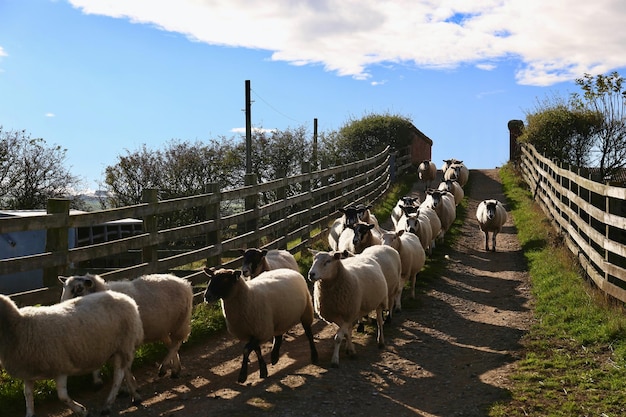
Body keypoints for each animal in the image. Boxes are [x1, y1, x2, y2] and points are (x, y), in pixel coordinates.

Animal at [0, 290, 143, 416]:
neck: (19, 327)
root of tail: (127, 298)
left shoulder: (60, 366)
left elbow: (62, 396)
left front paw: (82, 411)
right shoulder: (28, 372)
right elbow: (28, 396)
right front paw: (30, 413)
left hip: (124, 344)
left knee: (118, 376)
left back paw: (108, 405)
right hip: (114, 349)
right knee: (126, 370)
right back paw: (135, 395)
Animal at [61, 272, 194, 382]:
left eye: (79, 288)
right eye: (64, 288)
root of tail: (184, 282)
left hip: (180, 321)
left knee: (176, 344)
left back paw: (164, 368)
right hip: (162, 328)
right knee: (172, 345)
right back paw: (175, 370)